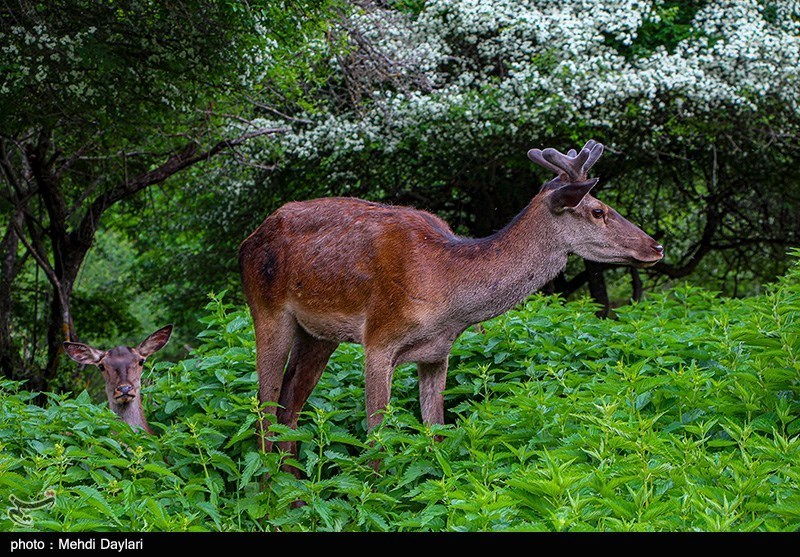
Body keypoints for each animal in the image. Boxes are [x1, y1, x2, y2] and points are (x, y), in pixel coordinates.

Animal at [238, 140, 664, 474]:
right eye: (598, 210)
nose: (656, 246)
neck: (447, 296)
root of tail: (248, 240)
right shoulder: (379, 339)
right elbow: (376, 443)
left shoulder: (437, 354)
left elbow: (437, 435)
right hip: (266, 310)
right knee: (264, 408)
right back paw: (269, 499)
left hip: (320, 335)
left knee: (288, 408)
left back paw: (294, 494)